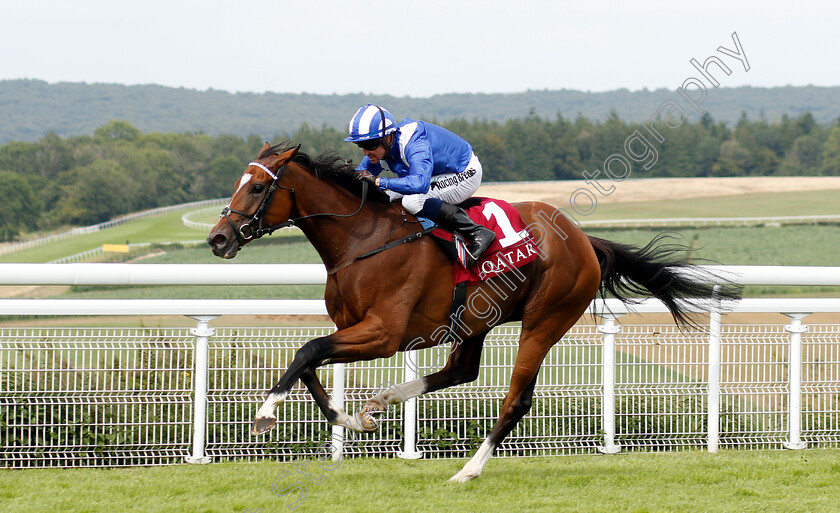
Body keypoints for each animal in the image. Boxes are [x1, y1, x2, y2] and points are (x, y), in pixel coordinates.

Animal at [207, 142, 740, 482]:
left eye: (257, 189)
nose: (218, 238)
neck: (363, 239)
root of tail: (583, 239)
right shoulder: (353, 327)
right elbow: (311, 362)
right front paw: (352, 420)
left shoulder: (383, 333)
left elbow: (307, 350)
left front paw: (264, 415)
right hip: (475, 319)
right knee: (461, 370)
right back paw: (385, 399)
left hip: (545, 319)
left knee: (515, 400)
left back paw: (468, 469)